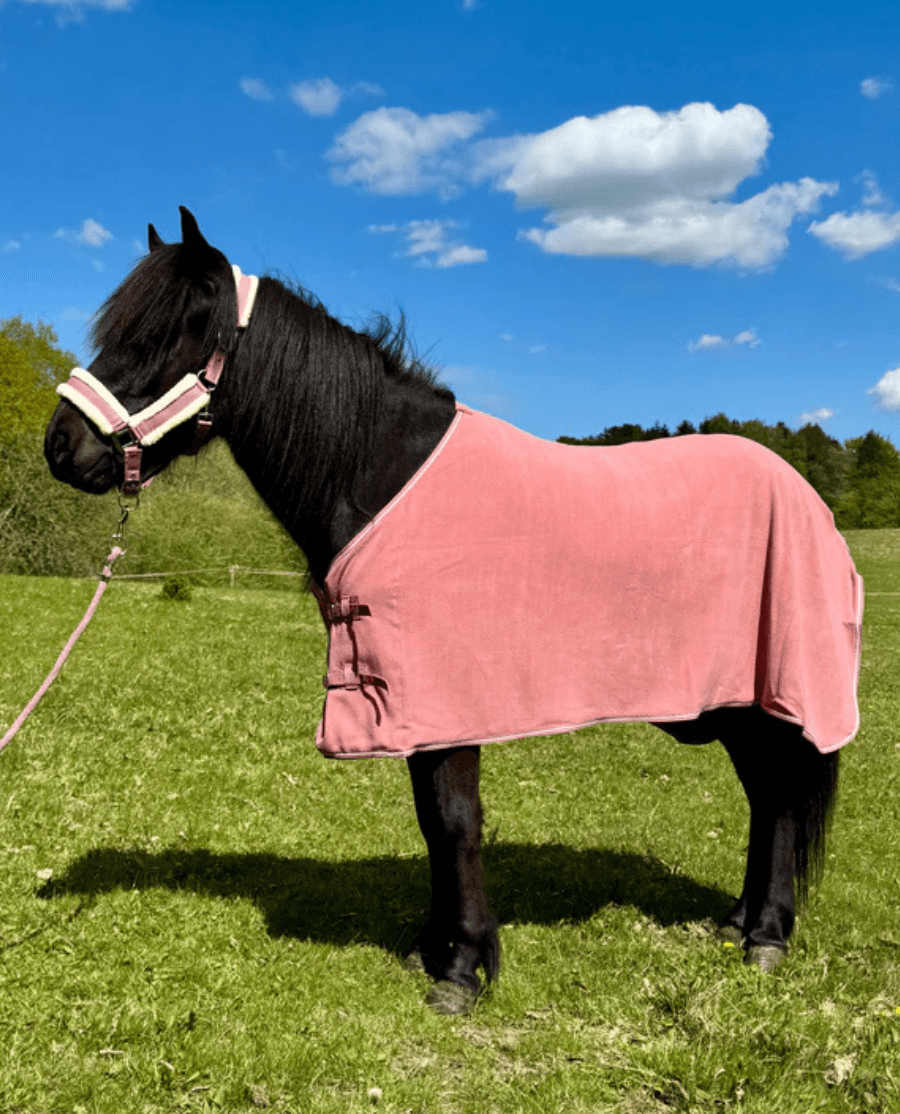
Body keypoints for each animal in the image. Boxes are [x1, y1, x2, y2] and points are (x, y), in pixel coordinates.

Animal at [45, 207, 863, 1015]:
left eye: (166, 332)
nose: (60, 447)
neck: (381, 471)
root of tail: (806, 496)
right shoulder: (410, 703)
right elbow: (431, 823)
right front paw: (431, 948)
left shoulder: (446, 697)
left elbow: (454, 819)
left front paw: (464, 968)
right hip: (734, 703)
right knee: (767, 794)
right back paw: (738, 923)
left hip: (767, 694)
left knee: (780, 796)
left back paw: (767, 936)